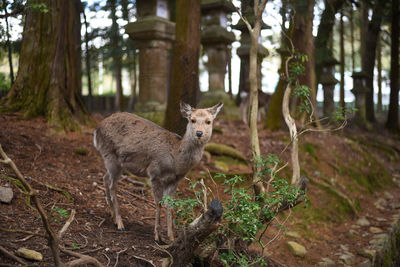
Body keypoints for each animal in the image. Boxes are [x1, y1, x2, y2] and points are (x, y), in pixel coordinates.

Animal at [94, 101, 225, 242]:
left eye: (209, 121)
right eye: (192, 120)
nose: (199, 133)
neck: (176, 161)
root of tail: (97, 129)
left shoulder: (174, 181)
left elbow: (170, 205)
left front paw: (171, 237)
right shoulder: (155, 173)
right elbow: (158, 203)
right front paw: (157, 236)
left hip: (115, 162)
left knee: (105, 178)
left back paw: (113, 217)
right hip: (111, 155)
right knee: (113, 186)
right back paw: (120, 223)